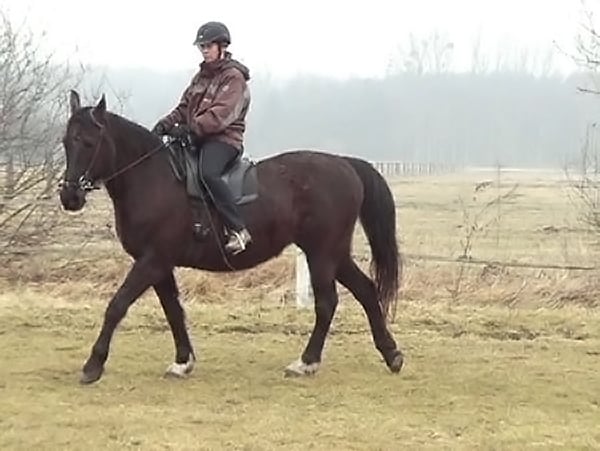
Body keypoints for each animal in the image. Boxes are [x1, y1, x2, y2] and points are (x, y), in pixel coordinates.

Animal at [58, 91, 406, 384]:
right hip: (334, 254)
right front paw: (183, 362)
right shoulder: (159, 265)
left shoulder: (152, 261)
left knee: (327, 303)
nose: (69, 196)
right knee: (366, 290)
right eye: (65, 142)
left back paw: (307, 362)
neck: (152, 179)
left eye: (88, 142)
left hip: (321, 254)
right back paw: (391, 354)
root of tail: (345, 163)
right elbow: (173, 311)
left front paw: (93, 365)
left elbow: (117, 305)